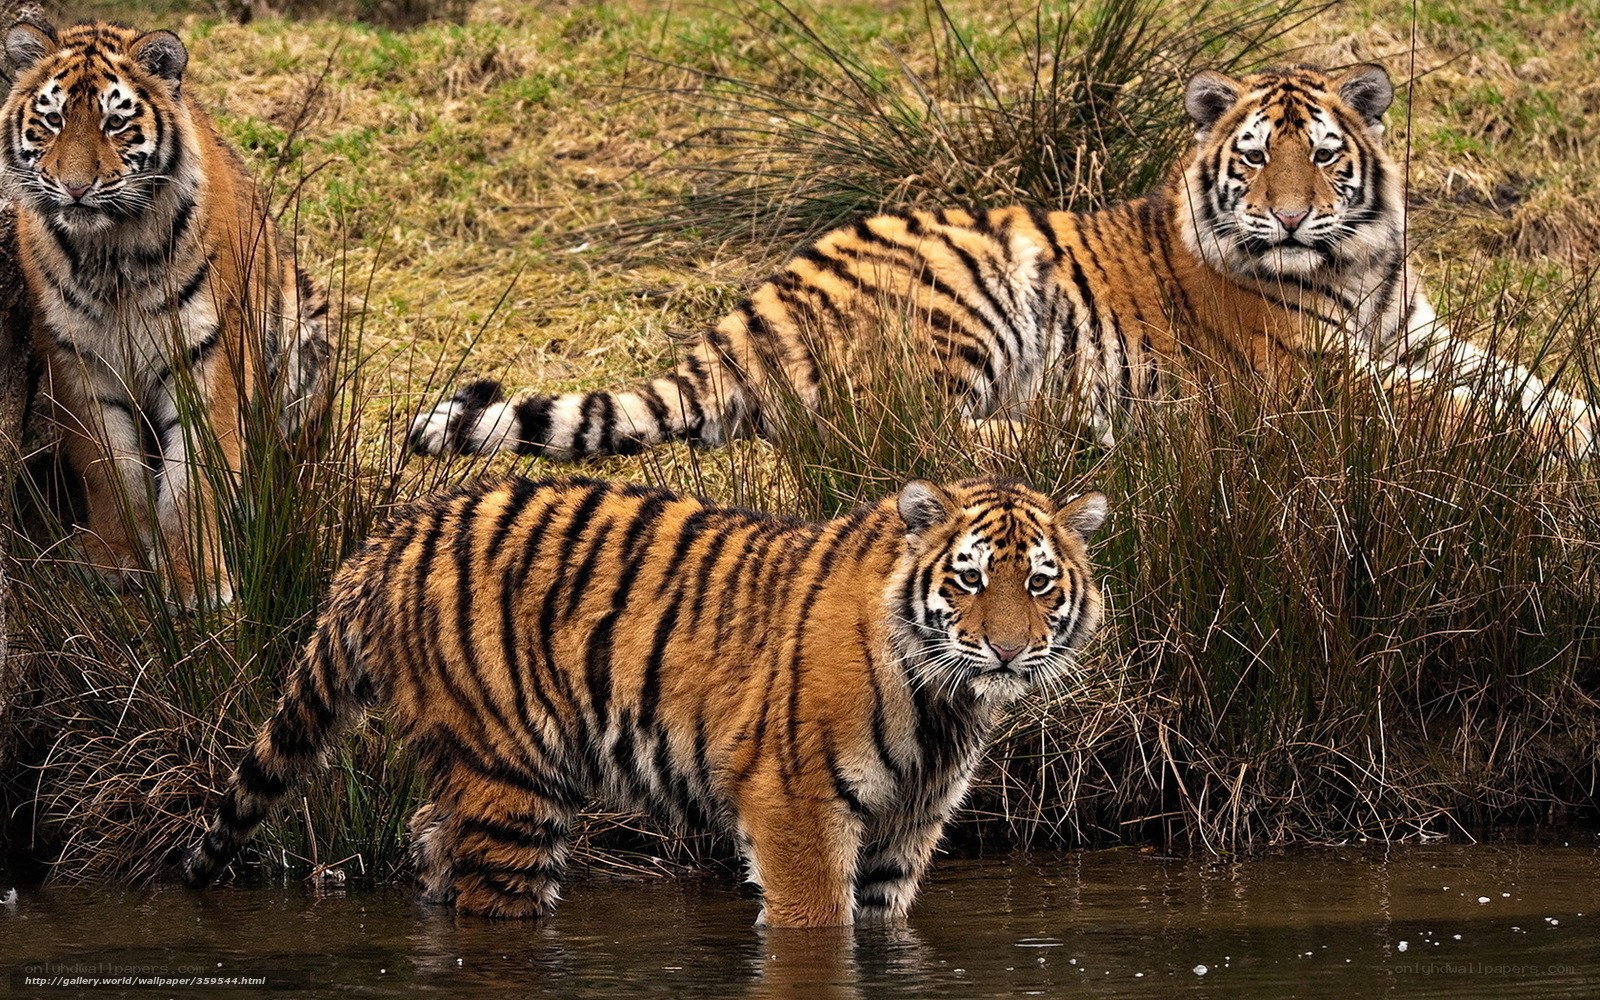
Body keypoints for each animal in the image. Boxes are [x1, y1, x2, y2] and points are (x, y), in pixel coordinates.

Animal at [1, 19, 334, 607]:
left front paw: (194, 582)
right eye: (53, 119)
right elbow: (107, 466)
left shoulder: (209, 355)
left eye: (115, 122)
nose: (75, 187)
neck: (109, 251)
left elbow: (195, 479)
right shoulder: (77, 359)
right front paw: (117, 560)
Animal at [182, 475, 1108, 927]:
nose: (1009, 650)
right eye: (970, 579)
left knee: (427, 838)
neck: (943, 703)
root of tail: (385, 541)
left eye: (1038, 583)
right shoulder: (795, 805)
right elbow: (817, 924)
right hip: (512, 783)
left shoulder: (905, 827)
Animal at [410, 63, 1595, 463]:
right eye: (1256, 158)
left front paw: (1577, 420)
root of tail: (743, 313)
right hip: (973, 287)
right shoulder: (1316, 378)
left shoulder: (1419, 335)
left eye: (1326, 156)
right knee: (900, 433)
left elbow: (1530, 386)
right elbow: (1459, 410)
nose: (1295, 221)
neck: (1356, 265)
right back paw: (1087, 427)